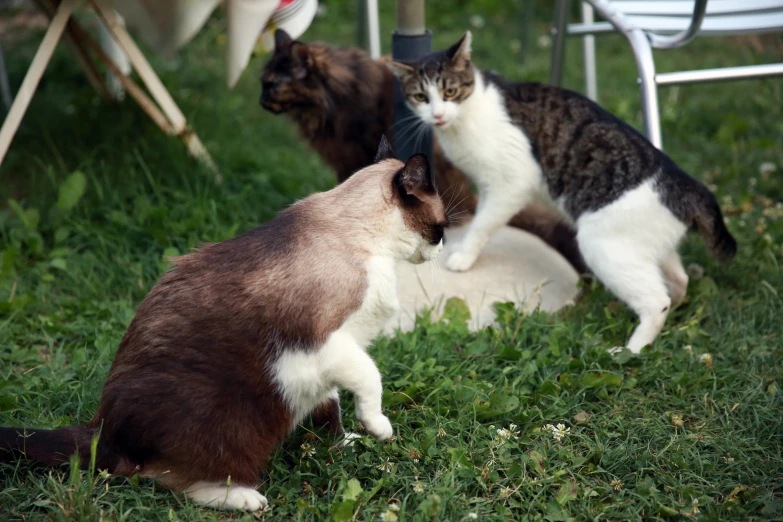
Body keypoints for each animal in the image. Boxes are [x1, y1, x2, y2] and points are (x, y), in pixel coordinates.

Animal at [0, 136, 448, 510]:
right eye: (442, 226)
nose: (442, 249)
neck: (371, 242)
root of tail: (102, 429)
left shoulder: (335, 356)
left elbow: (332, 404)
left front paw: (343, 442)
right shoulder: (327, 343)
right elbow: (370, 378)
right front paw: (378, 428)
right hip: (229, 423)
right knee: (163, 478)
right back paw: (245, 498)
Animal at [388, 31, 740, 350]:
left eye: (449, 91)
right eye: (420, 97)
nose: (436, 114)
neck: (465, 116)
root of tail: (690, 187)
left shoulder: (512, 182)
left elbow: (483, 224)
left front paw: (462, 257)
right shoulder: (489, 186)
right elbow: (482, 218)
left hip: (603, 245)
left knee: (656, 301)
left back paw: (631, 350)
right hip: (648, 245)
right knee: (677, 281)